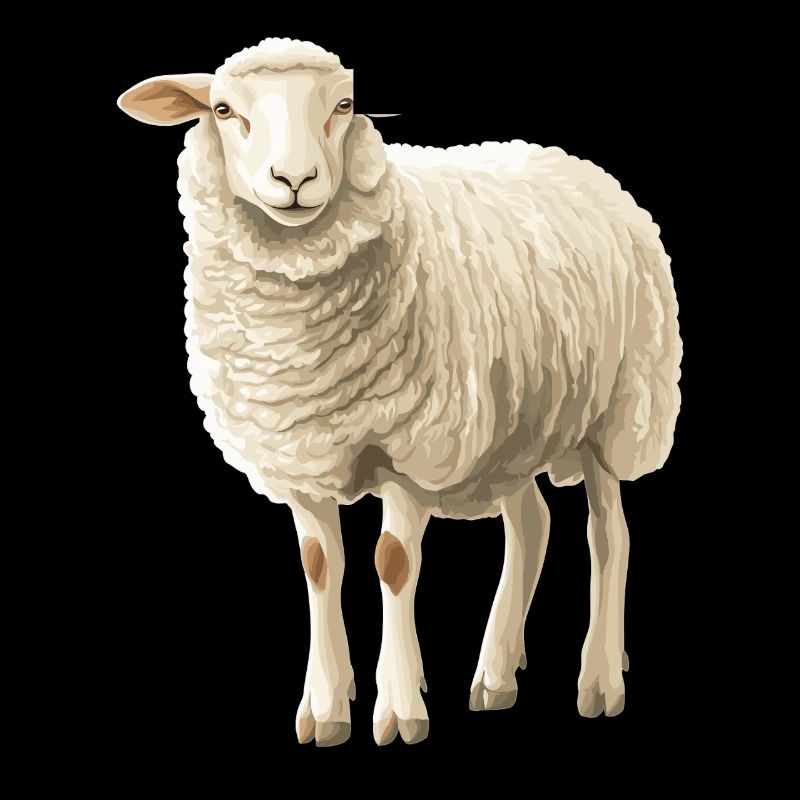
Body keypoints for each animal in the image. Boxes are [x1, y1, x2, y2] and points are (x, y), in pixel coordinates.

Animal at [118, 36, 682, 747]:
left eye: (344, 105)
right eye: (223, 109)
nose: (295, 181)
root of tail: (574, 163)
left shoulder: (414, 447)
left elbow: (392, 563)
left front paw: (398, 710)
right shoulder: (299, 455)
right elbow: (317, 565)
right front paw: (325, 710)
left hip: (618, 407)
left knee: (608, 534)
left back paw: (600, 680)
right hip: (512, 422)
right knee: (531, 525)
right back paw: (495, 676)